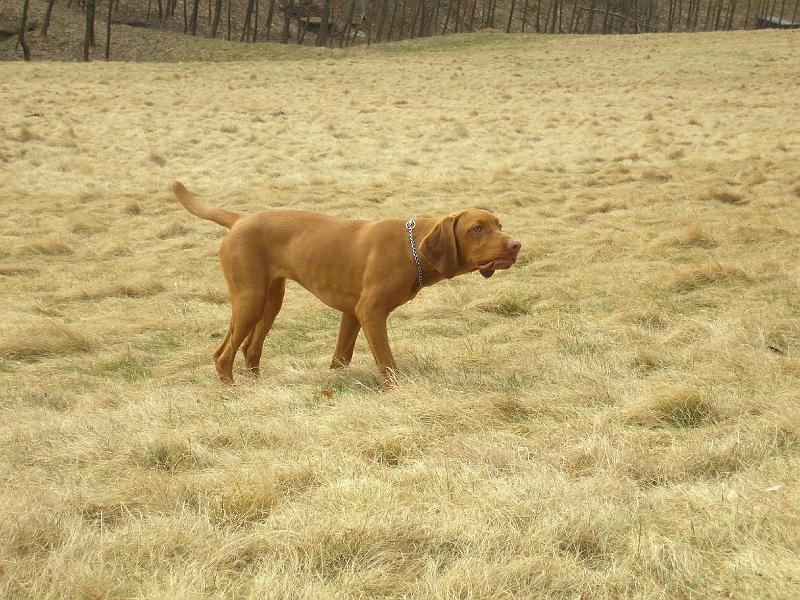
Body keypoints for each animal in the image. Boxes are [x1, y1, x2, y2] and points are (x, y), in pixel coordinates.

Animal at [170, 182, 520, 390]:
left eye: (499, 225)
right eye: (477, 228)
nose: (516, 245)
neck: (412, 248)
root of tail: (240, 219)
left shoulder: (352, 313)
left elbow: (341, 358)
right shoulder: (370, 312)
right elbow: (387, 362)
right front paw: (395, 391)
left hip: (270, 300)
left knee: (249, 349)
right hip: (250, 299)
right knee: (223, 354)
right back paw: (230, 393)